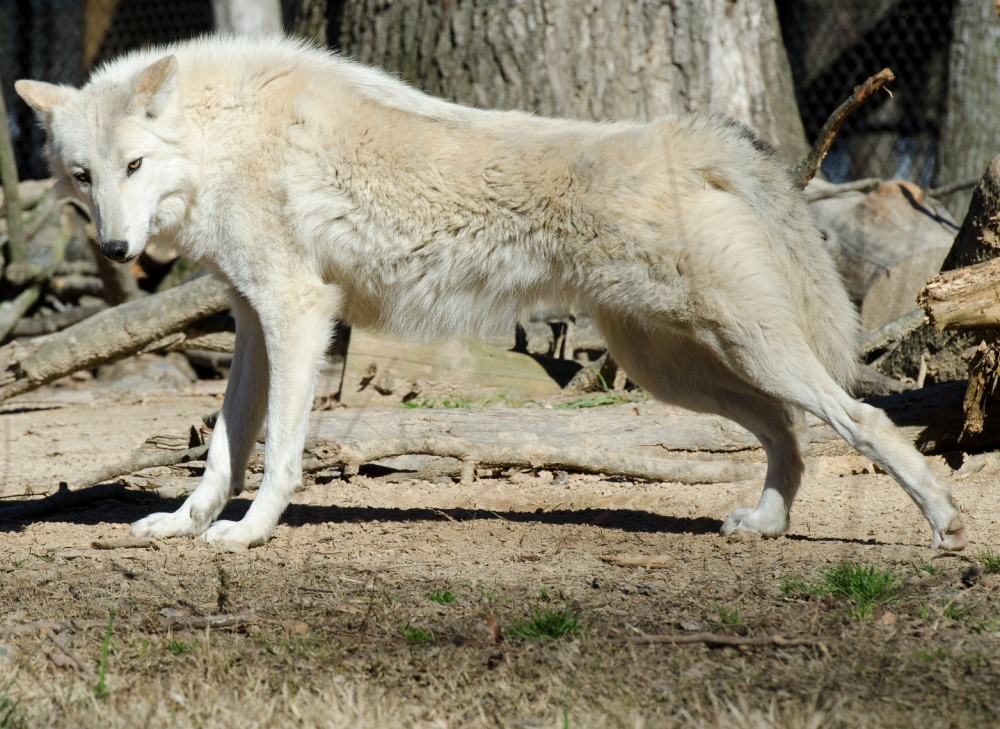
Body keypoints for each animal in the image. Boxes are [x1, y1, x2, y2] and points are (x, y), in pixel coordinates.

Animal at [17, 32, 968, 544]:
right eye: (84, 174)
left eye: (135, 166)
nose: (115, 244)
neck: (225, 133)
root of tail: (685, 137)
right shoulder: (255, 323)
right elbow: (221, 448)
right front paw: (185, 523)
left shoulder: (298, 314)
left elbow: (278, 452)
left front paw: (248, 534)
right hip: (674, 370)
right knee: (788, 433)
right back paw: (766, 523)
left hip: (747, 351)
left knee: (862, 418)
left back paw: (941, 520)